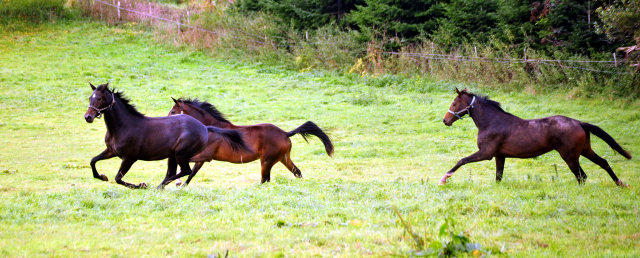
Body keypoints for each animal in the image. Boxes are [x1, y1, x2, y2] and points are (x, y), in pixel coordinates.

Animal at [86, 83, 251, 188]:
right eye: (90, 98)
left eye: (99, 98)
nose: (88, 117)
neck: (124, 126)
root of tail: (204, 127)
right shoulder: (111, 151)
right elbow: (93, 161)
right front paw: (102, 176)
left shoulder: (129, 157)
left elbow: (118, 178)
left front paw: (142, 185)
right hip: (173, 155)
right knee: (175, 172)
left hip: (181, 154)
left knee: (186, 171)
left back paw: (159, 186)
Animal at [165, 97, 336, 183]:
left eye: (173, 111)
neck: (211, 129)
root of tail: (285, 133)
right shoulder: (200, 160)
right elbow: (190, 176)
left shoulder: (203, 157)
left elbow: (186, 171)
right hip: (283, 158)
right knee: (296, 172)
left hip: (266, 161)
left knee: (265, 179)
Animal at [440, 87, 632, 186]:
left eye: (454, 103)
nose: (445, 120)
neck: (491, 122)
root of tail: (579, 122)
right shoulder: (499, 155)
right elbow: (498, 177)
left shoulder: (486, 153)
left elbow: (461, 160)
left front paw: (444, 178)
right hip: (585, 150)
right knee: (603, 163)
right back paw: (620, 183)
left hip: (570, 156)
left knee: (582, 176)